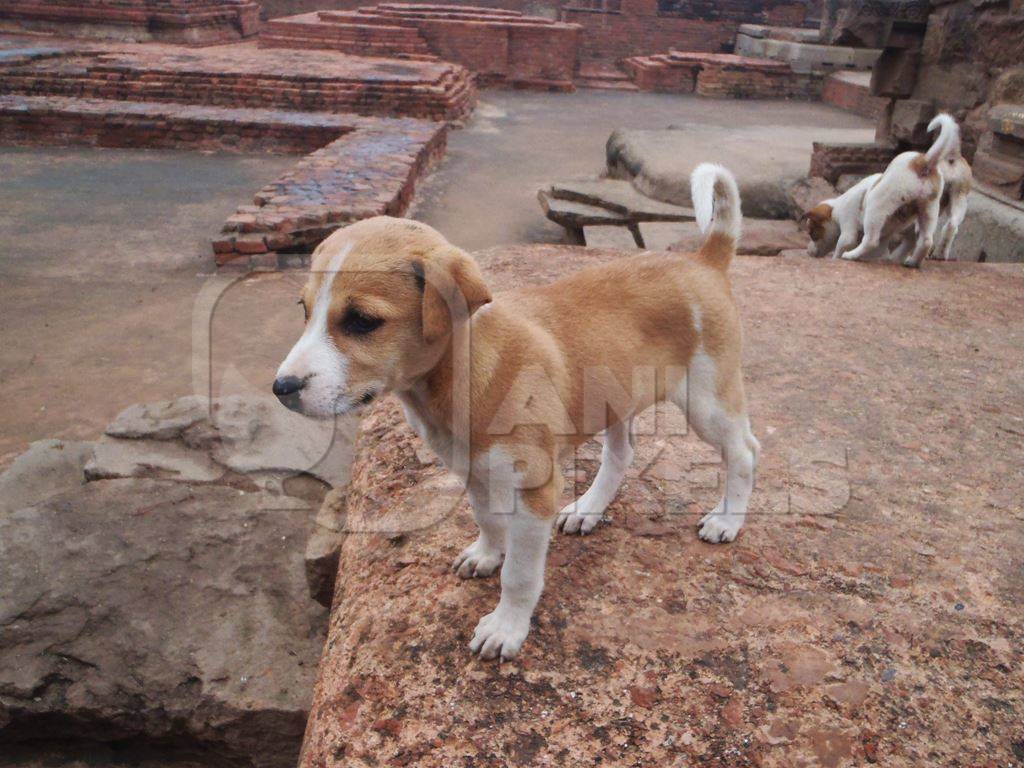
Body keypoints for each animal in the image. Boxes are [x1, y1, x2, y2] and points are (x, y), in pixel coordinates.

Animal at [276, 163, 757, 663]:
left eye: (362, 321)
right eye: (305, 311)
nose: (281, 388)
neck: (460, 374)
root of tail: (704, 259)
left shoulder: (535, 490)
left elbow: (521, 575)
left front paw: (506, 627)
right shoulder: (472, 471)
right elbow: (487, 520)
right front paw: (487, 555)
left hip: (707, 398)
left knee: (744, 450)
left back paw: (727, 520)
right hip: (615, 395)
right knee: (622, 453)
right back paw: (589, 508)